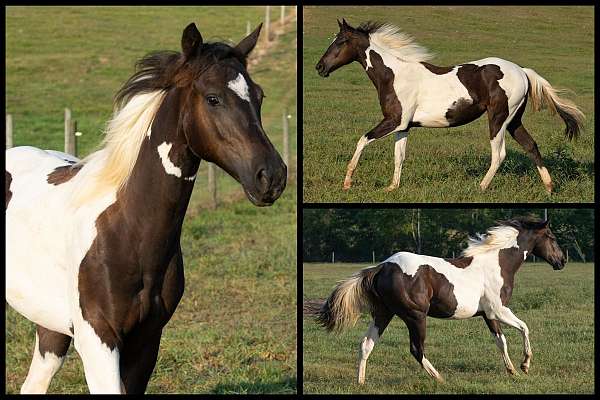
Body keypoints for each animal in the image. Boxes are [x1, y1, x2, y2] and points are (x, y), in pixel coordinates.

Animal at [4, 22, 286, 394]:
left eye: (259, 96)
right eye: (213, 98)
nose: (272, 177)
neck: (126, 229)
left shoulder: (147, 341)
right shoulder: (98, 341)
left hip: (51, 328)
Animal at [316, 19, 584, 194]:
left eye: (341, 41)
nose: (320, 67)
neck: (394, 75)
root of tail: (522, 71)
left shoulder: (394, 121)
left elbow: (362, 140)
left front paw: (347, 182)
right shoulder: (404, 126)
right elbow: (399, 156)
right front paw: (392, 187)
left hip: (498, 119)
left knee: (499, 154)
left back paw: (481, 187)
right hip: (513, 121)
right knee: (531, 146)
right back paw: (549, 188)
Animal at [318, 219, 568, 384]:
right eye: (552, 238)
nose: (562, 261)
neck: (496, 264)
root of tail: (382, 266)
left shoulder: (488, 314)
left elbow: (501, 342)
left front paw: (512, 371)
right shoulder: (498, 310)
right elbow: (524, 328)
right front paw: (525, 365)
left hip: (383, 313)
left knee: (366, 344)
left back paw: (360, 382)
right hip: (415, 316)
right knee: (416, 349)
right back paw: (440, 378)